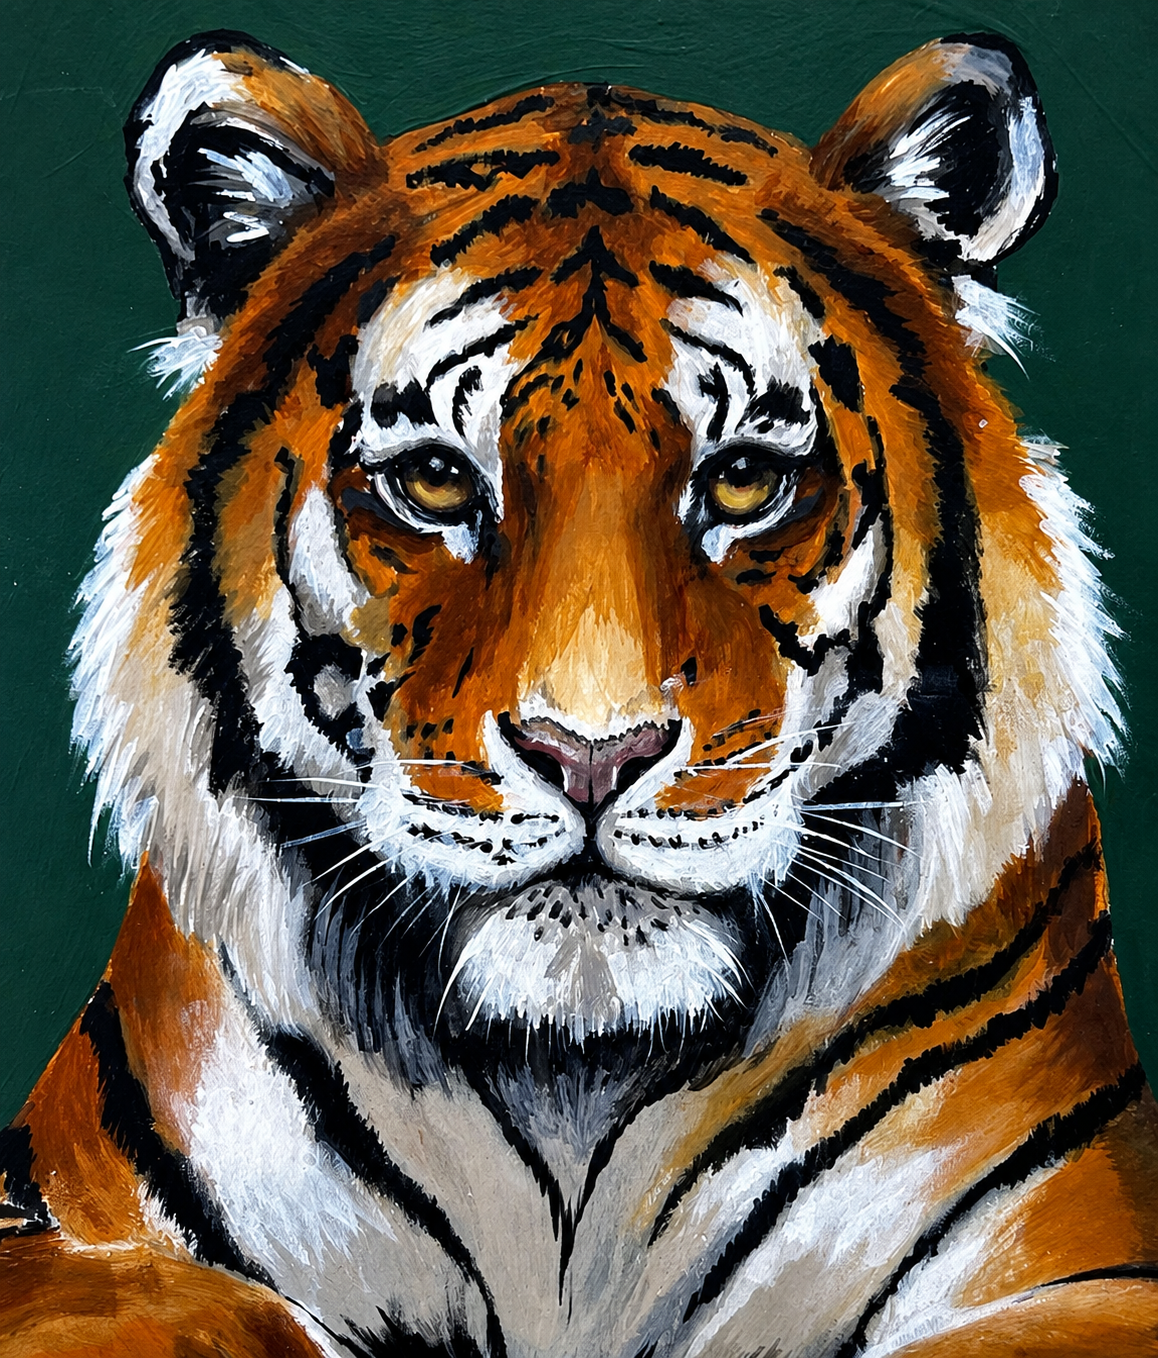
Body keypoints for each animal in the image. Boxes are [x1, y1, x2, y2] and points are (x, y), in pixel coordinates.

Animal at [1, 25, 1156, 1358]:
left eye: (745, 477)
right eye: (437, 481)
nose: (591, 753)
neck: (574, 1090)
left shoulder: (1091, 1261)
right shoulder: (54, 1225)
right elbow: (201, 1303)